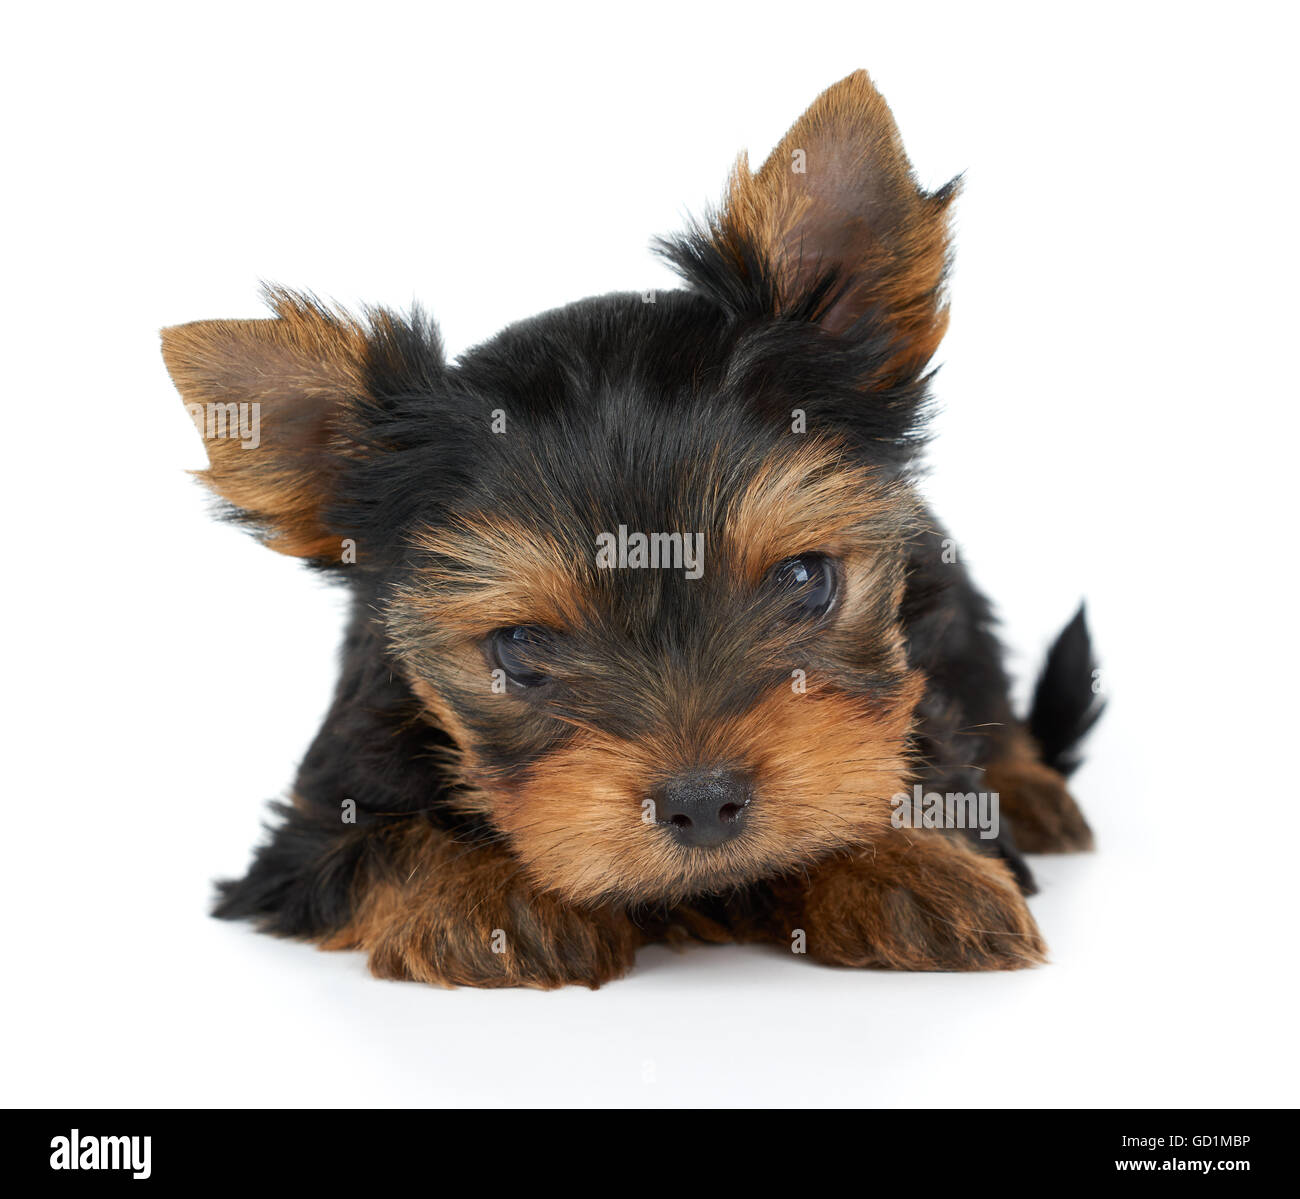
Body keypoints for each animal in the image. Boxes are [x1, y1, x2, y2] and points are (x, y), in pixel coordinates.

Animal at [159, 70, 1097, 983]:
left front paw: (910, 863)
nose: (702, 801)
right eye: (520, 647)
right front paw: (485, 898)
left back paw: (1032, 787)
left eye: (804, 580)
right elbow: (373, 843)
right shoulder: (313, 823)